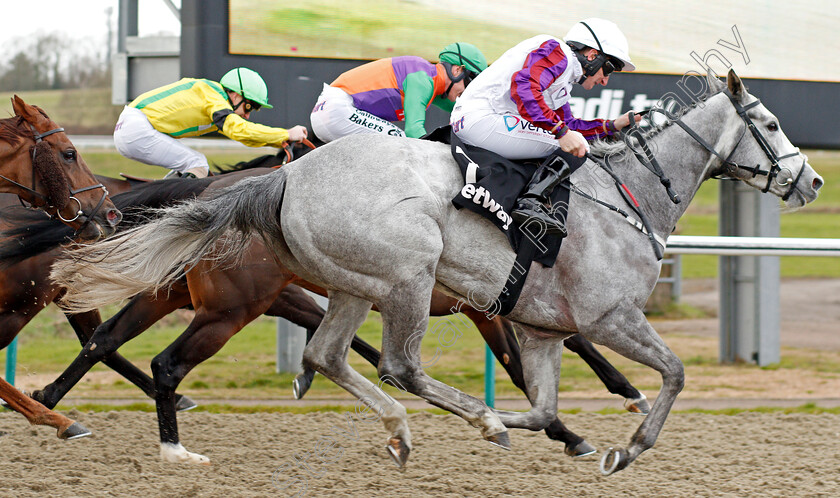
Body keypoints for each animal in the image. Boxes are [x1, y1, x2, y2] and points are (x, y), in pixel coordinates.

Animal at [54, 71, 828, 474]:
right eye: (769, 123)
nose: (814, 179)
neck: (624, 195)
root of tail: (283, 178)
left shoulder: (540, 327)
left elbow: (541, 402)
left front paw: (543, 429)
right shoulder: (608, 317)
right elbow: (673, 374)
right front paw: (625, 446)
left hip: (347, 285)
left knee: (326, 354)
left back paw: (403, 427)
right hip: (403, 275)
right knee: (397, 364)